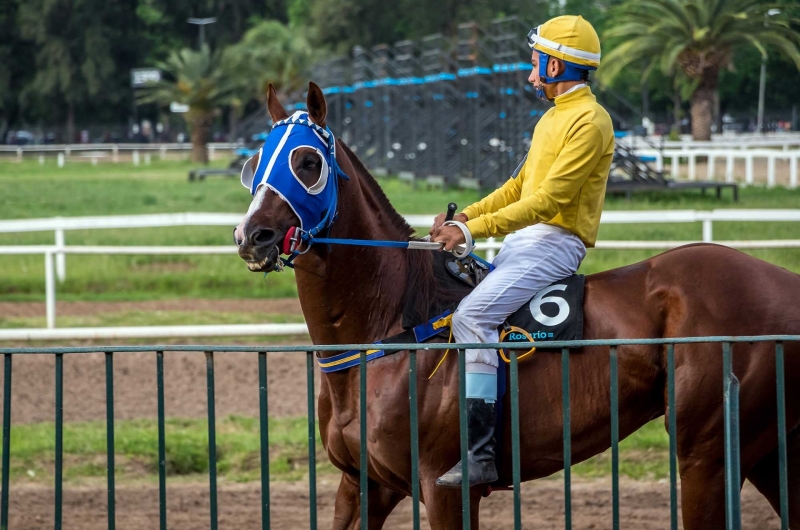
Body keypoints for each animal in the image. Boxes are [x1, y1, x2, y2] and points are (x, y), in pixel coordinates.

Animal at [233, 81, 800, 524]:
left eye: (307, 162)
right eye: (253, 163)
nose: (252, 236)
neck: (391, 326)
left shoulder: (445, 491)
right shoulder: (362, 485)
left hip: (708, 453)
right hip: (767, 449)